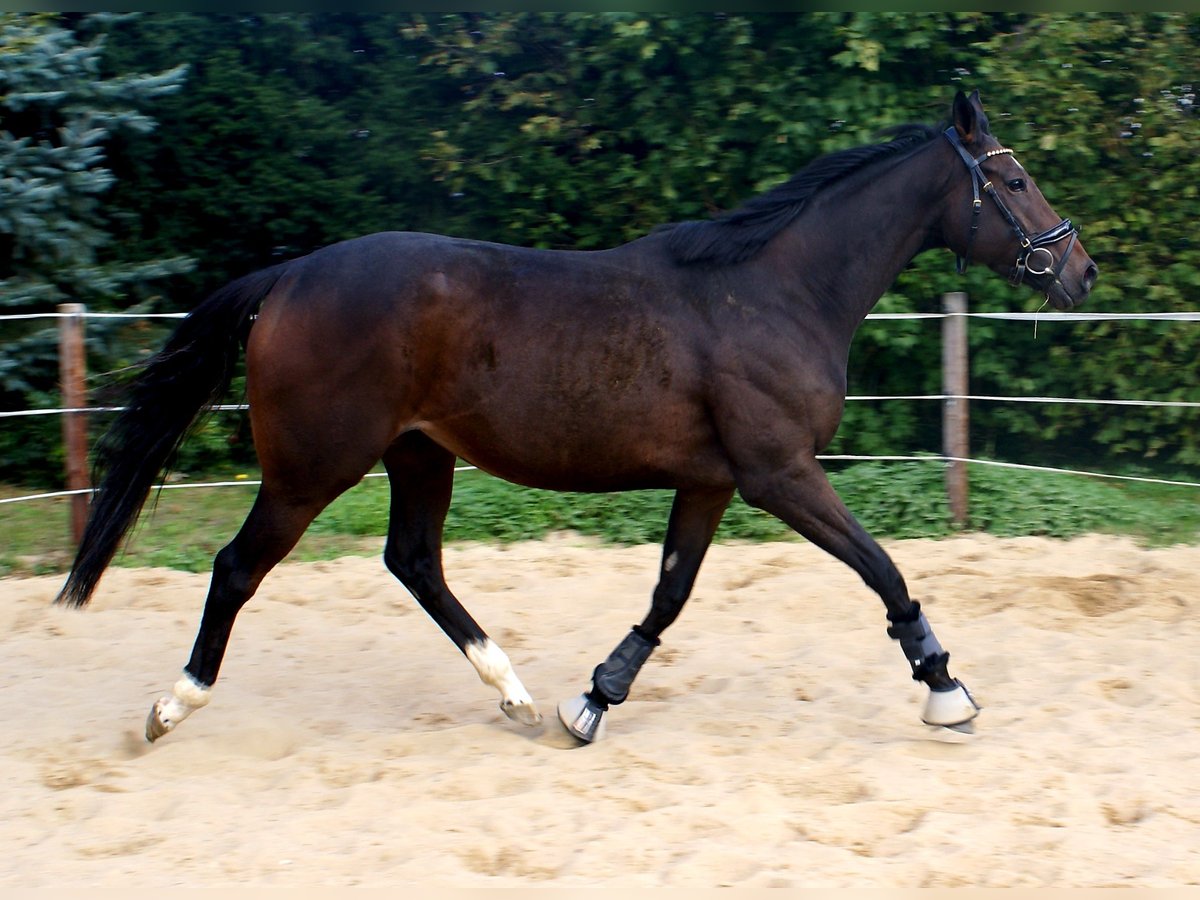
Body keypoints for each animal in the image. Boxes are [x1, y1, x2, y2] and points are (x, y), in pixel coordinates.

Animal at [57, 90, 1096, 745]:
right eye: (1011, 181)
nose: (1079, 270)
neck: (773, 291)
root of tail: (289, 278)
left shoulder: (711, 482)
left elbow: (669, 595)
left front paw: (592, 703)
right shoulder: (779, 472)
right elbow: (883, 569)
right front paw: (947, 690)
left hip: (418, 456)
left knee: (414, 562)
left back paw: (514, 695)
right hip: (314, 467)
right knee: (238, 569)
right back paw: (171, 707)